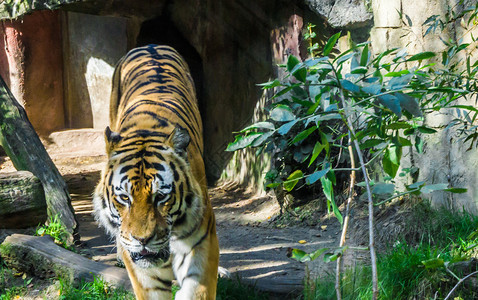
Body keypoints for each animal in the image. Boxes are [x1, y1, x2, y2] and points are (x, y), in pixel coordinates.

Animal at [92, 44, 219, 300]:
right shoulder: (144, 272)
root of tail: (151, 45)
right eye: (124, 198)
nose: (142, 240)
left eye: (160, 197)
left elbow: (197, 289)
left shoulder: (202, 241)